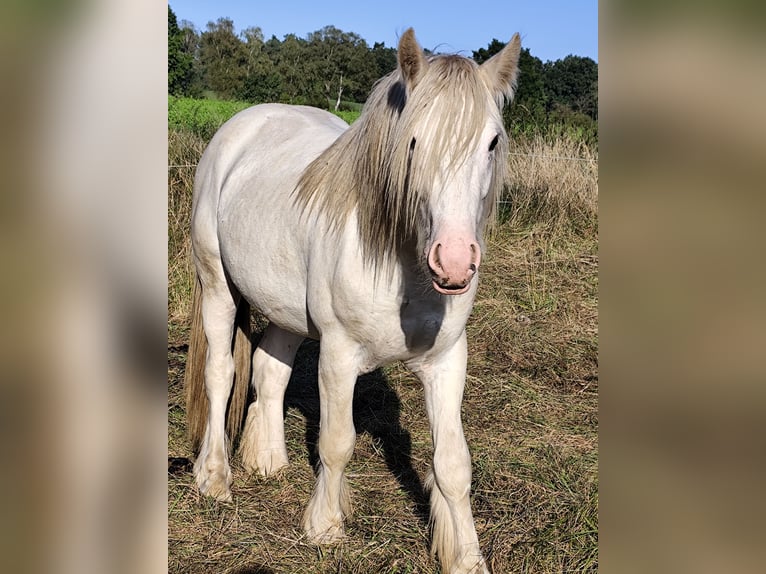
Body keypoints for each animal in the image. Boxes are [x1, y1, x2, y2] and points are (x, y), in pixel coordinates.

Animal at [185, 28, 520, 574]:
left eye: (492, 141)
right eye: (412, 140)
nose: (453, 261)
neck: (403, 269)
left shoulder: (448, 360)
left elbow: (453, 464)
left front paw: (466, 556)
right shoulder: (339, 356)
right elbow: (337, 443)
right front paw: (324, 527)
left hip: (285, 311)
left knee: (270, 370)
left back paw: (268, 460)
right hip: (216, 286)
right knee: (221, 374)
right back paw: (214, 478)